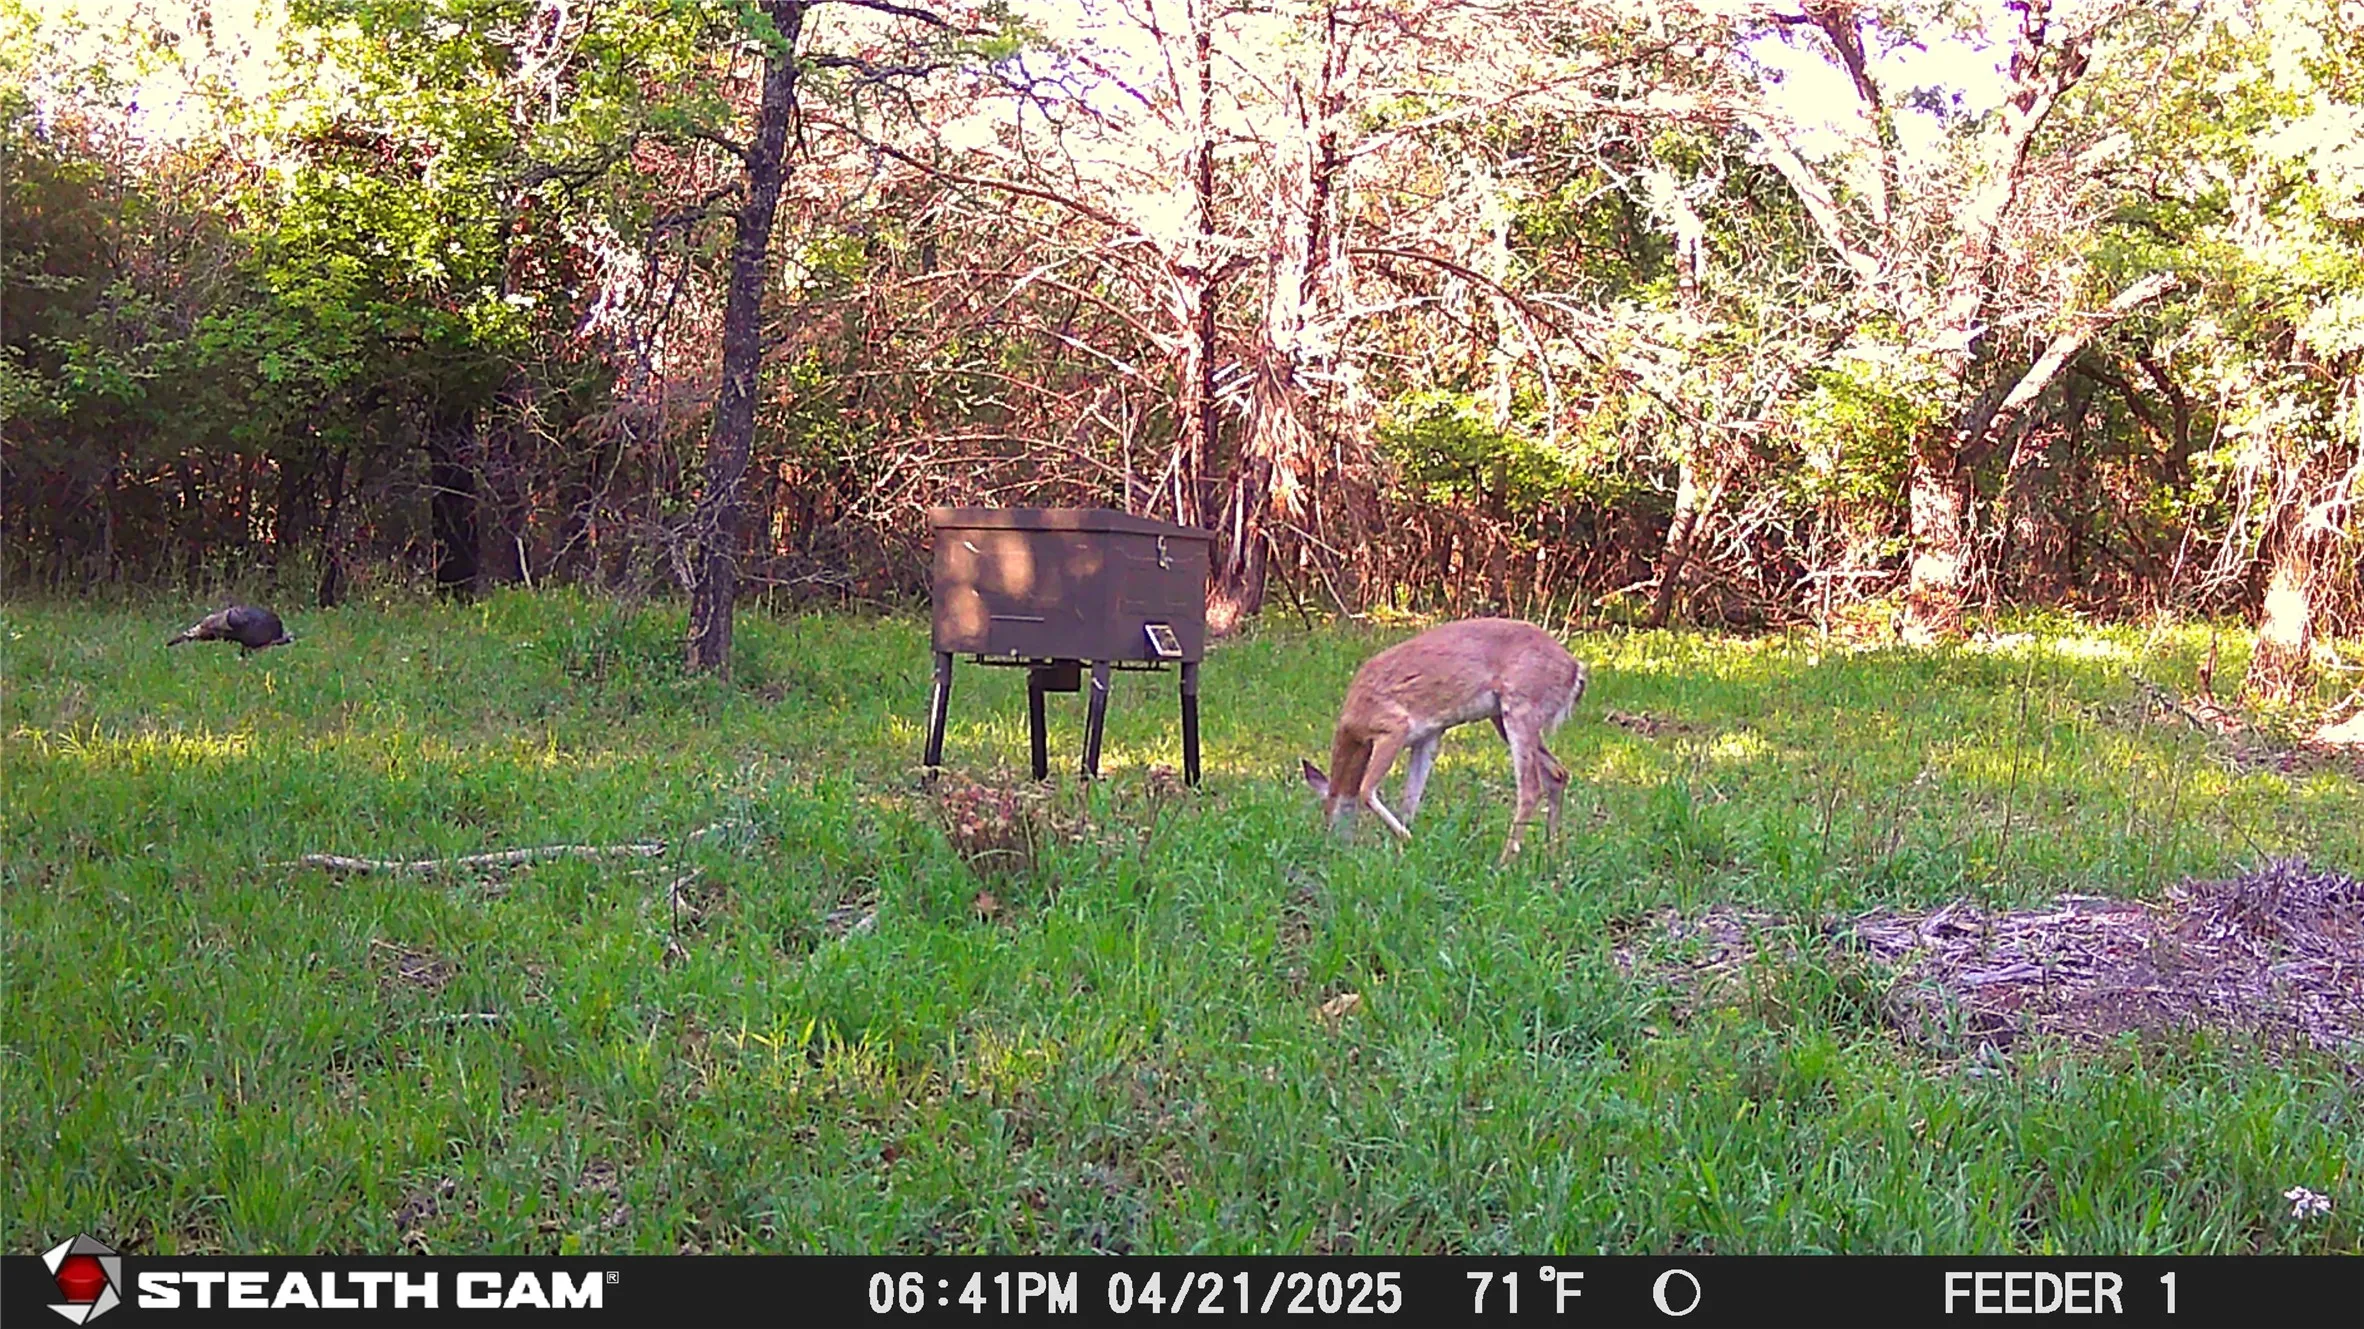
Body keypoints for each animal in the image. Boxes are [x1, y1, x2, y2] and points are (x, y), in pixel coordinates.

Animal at [1301, 617, 1588, 863]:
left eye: (1329, 815)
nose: (1334, 849)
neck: (1354, 726)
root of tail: (1576, 670)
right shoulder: (1429, 735)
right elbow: (1410, 798)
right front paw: (1402, 853)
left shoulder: (1394, 726)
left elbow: (1365, 789)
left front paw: (1409, 840)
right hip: (1503, 717)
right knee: (1558, 774)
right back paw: (1552, 857)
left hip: (1521, 707)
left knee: (1530, 787)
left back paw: (1505, 862)